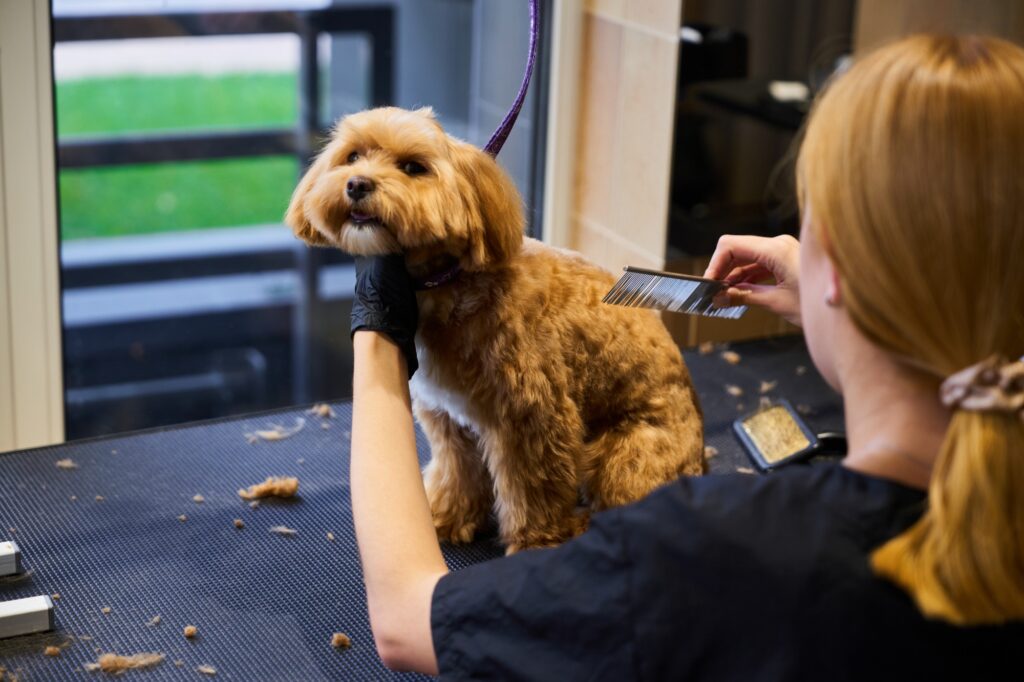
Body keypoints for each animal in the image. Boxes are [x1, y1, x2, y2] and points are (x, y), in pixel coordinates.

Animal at [286, 107, 704, 552]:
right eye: (352, 156)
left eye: (413, 167)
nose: (357, 184)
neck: (450, 284)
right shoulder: (448, 419)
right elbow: (458, 471)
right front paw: (448, 517)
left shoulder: (532, 419)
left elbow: (534, 489)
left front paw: (537, 540)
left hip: (624, 459)